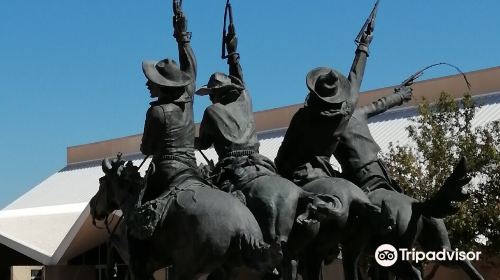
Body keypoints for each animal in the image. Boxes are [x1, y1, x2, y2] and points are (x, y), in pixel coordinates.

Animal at [89, 158, 274, 280]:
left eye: (101, 182)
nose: (92, 206)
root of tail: (242, 227)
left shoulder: (136, 264)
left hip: (187, 269)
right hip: (228, 269)